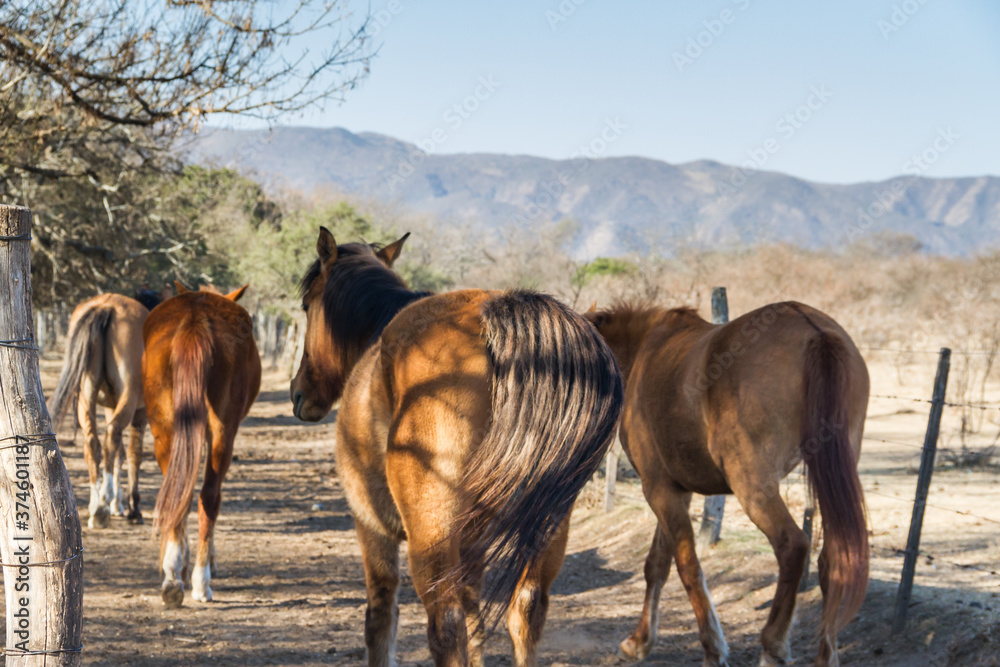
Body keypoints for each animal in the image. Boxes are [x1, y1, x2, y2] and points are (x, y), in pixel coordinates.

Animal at [49, 290, 167, 527]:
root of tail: (106, 306)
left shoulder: (110, 408)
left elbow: (119, 454)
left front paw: (116, 502)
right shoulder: (139, 414)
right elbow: (133, 454)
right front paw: (132, 508)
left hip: (86, 396)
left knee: (93, 443)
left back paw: (97, 504)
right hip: (127, 400)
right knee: (111, 437)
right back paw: (102, 508)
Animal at [142, 282, 261, 608]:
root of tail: (196, 318)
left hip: (166, 426)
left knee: (180, 492)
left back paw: (173, 577)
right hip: (223, 430)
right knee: (209, 495)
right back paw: (198, 579)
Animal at [291, 228, 623, 667]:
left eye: (307, 304)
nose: (298, 394)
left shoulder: (371, 527)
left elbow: (380, 617)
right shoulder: (472, 547)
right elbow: (476, 624)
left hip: (431, 536)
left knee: (445, 625)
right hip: (547, 524)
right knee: (524, 610)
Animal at [585, 301, 869, 667]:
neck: (642, 351)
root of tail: (816, 332)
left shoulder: (658, 488)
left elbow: (687, 566)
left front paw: (712, 649)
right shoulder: (677, 491)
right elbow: (657, 564)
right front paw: (640, 641)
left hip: (752, 485)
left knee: (793, 545)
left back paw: (773, 646)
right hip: (827, 480)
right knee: (833, 561)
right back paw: (825, 655)